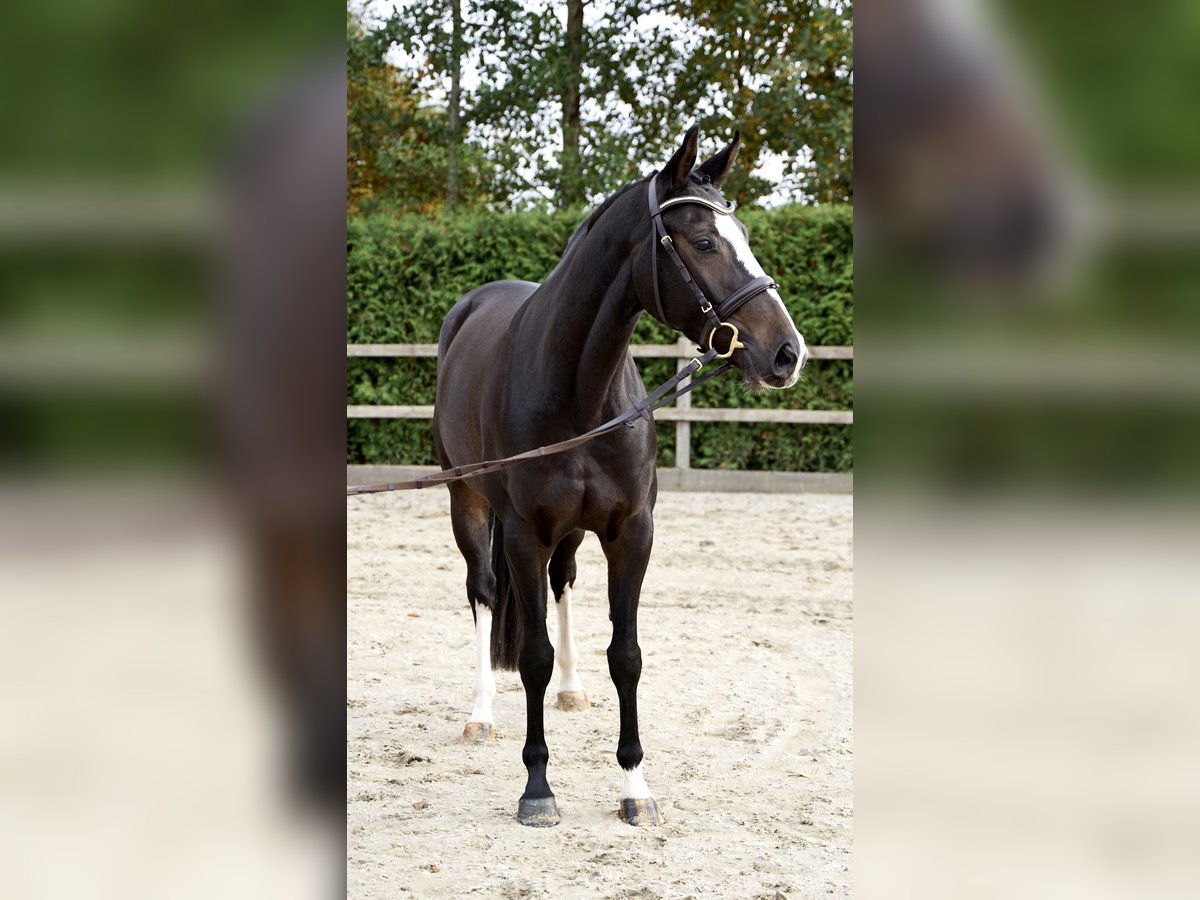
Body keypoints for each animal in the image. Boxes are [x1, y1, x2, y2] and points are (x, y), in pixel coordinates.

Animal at [432, 126, 807, 827]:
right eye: (704, 241)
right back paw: (480, 714)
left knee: (562, 583)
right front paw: (537, 789)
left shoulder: (630, 531)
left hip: (573, 533)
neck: (578, 387)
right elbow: (532, 656)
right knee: (484, 593)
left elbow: (625, 655)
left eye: (742, 233)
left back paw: (573, 691)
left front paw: (635, 786)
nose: (787, 353)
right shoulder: (522, 533)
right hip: (465, 499)